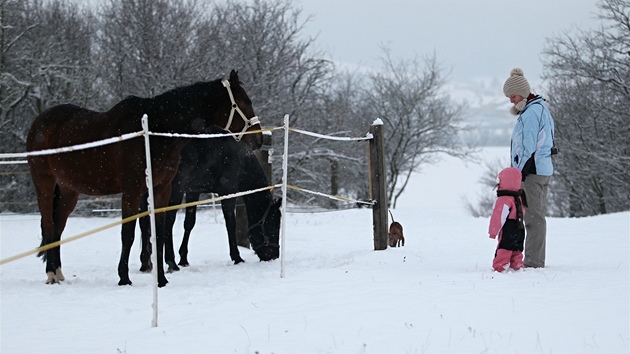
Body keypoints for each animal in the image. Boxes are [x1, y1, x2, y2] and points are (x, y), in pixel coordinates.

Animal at [25, 70, 262, 288]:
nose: (259, 139)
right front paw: (124, 277)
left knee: (57, 228)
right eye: (245, 102)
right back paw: (51, 275)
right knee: (49, 226)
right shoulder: (132, 190)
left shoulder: (161, 190)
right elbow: (128, 234)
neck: (154, 132)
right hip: (45, 184)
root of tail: (39, 122)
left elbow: (157, 231)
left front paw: (162, 279)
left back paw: (58, 273)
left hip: (68, 191)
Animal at [141, 129, 284, 272]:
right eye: (274, 225)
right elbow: (231, 224)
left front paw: (184, 259)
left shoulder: (193, 192)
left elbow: (189, 223)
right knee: (168, 220)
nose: (274, 256)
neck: (240, 158)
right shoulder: (227, 192)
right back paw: (170, 262)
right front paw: (237, 257)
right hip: (175, 190)